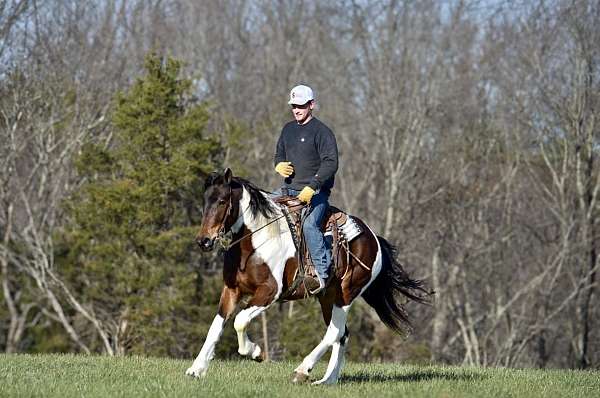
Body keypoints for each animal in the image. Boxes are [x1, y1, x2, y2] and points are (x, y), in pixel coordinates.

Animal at [185, 169, 428, 386]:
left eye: (222, 201)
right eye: (205, 201)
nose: (203, 241)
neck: (253, 242)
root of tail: (373, 237)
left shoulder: (269, 292)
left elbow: (240, 320)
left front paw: (255, 352)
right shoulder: (231, 290)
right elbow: (216, 326)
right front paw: (196, 369)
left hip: (346, 294)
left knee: (334, 332)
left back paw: (303, 370)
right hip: (327, 297)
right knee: (342, 334)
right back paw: (327, 380)